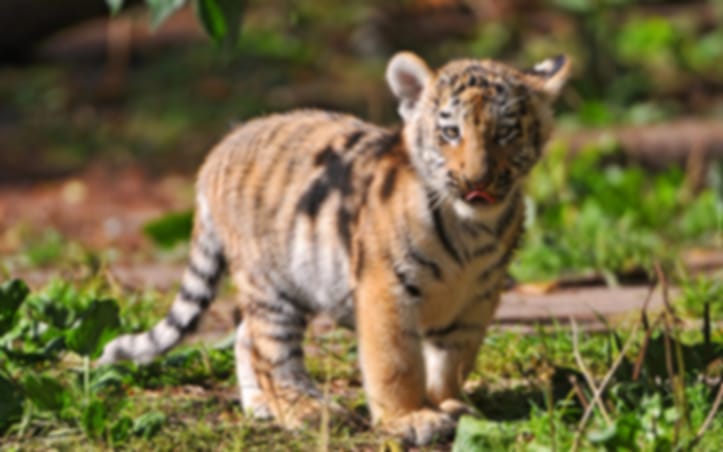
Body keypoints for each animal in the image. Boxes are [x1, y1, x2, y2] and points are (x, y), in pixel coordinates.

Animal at [99, 51, 570, 445]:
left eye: (506, 133)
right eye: (450, 132)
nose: (477, 181)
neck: (473, 228)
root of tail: (218, 150)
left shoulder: (478, 296)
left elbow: (454, 357)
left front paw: (450, 404)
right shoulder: (386, 287)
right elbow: (395, 360)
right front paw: (409, 418)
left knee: (244, 335)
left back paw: (260, 407)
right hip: (271, 285)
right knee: (272, 352)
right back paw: (305, 410)